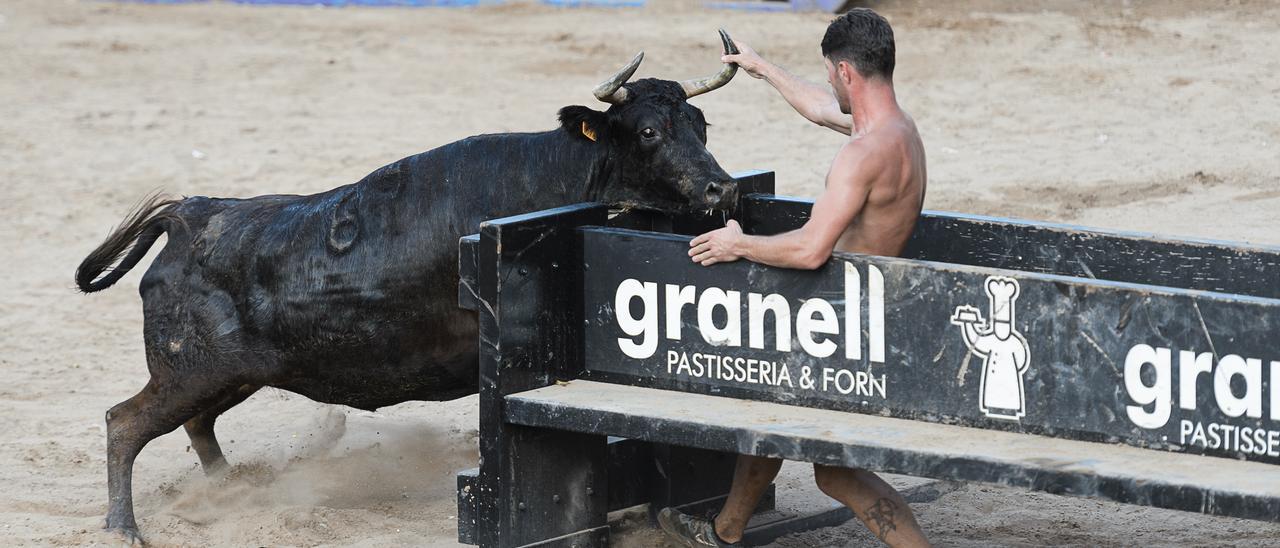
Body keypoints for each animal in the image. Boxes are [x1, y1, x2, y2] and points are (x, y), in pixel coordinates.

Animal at [74, 35, 747, 542]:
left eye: (701, 124)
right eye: (649, 131)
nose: (723, 188)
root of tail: (190, 215)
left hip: (228, 374)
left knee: (195, 426)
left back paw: (233, 492)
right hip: (189, 372)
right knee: (124, 423)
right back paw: (124, 527)